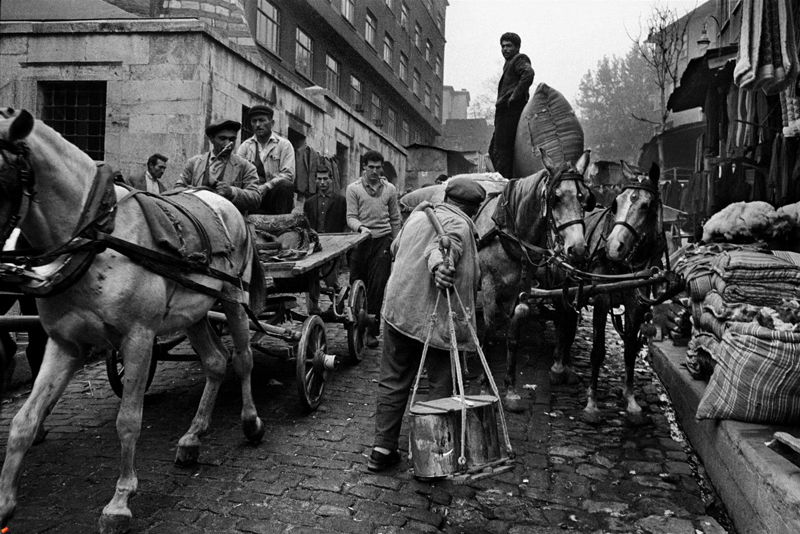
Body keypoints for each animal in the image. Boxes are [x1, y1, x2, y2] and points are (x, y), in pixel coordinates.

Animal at [0, 110, 266, 534]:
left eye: (1, 177)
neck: (97, 237)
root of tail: (222, 199)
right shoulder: (66, 343)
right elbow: (23, 420)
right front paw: (6, 502)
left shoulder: (139, 337)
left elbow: (128, 419)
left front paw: (120, 502)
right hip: (194, 310)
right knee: (215, 362)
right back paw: (192, 438)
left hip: (233, 298)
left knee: (242, 360)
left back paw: (251, 421)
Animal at [476, 148, 592, 410]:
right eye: (555, 198)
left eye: (584, 197)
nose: (578, 249)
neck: (509, 231)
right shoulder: (488, 285)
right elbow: (488, 328)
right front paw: (485, 382)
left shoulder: (520, 290)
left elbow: (514, 335)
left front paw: (510, 388)